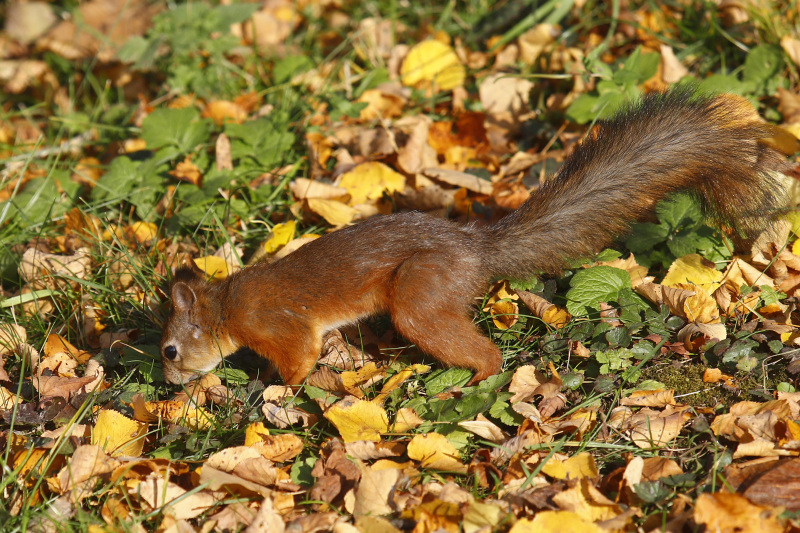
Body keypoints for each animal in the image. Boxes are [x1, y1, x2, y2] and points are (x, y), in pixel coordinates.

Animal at [160, 89, 790, 386]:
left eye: (169, 349)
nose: (167, 381)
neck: (227, 306)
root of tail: (474, 250)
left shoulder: (278, 325)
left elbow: (298, 359)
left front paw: (272, 390)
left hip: (419, 296)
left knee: (481, 352)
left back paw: (464, 383)